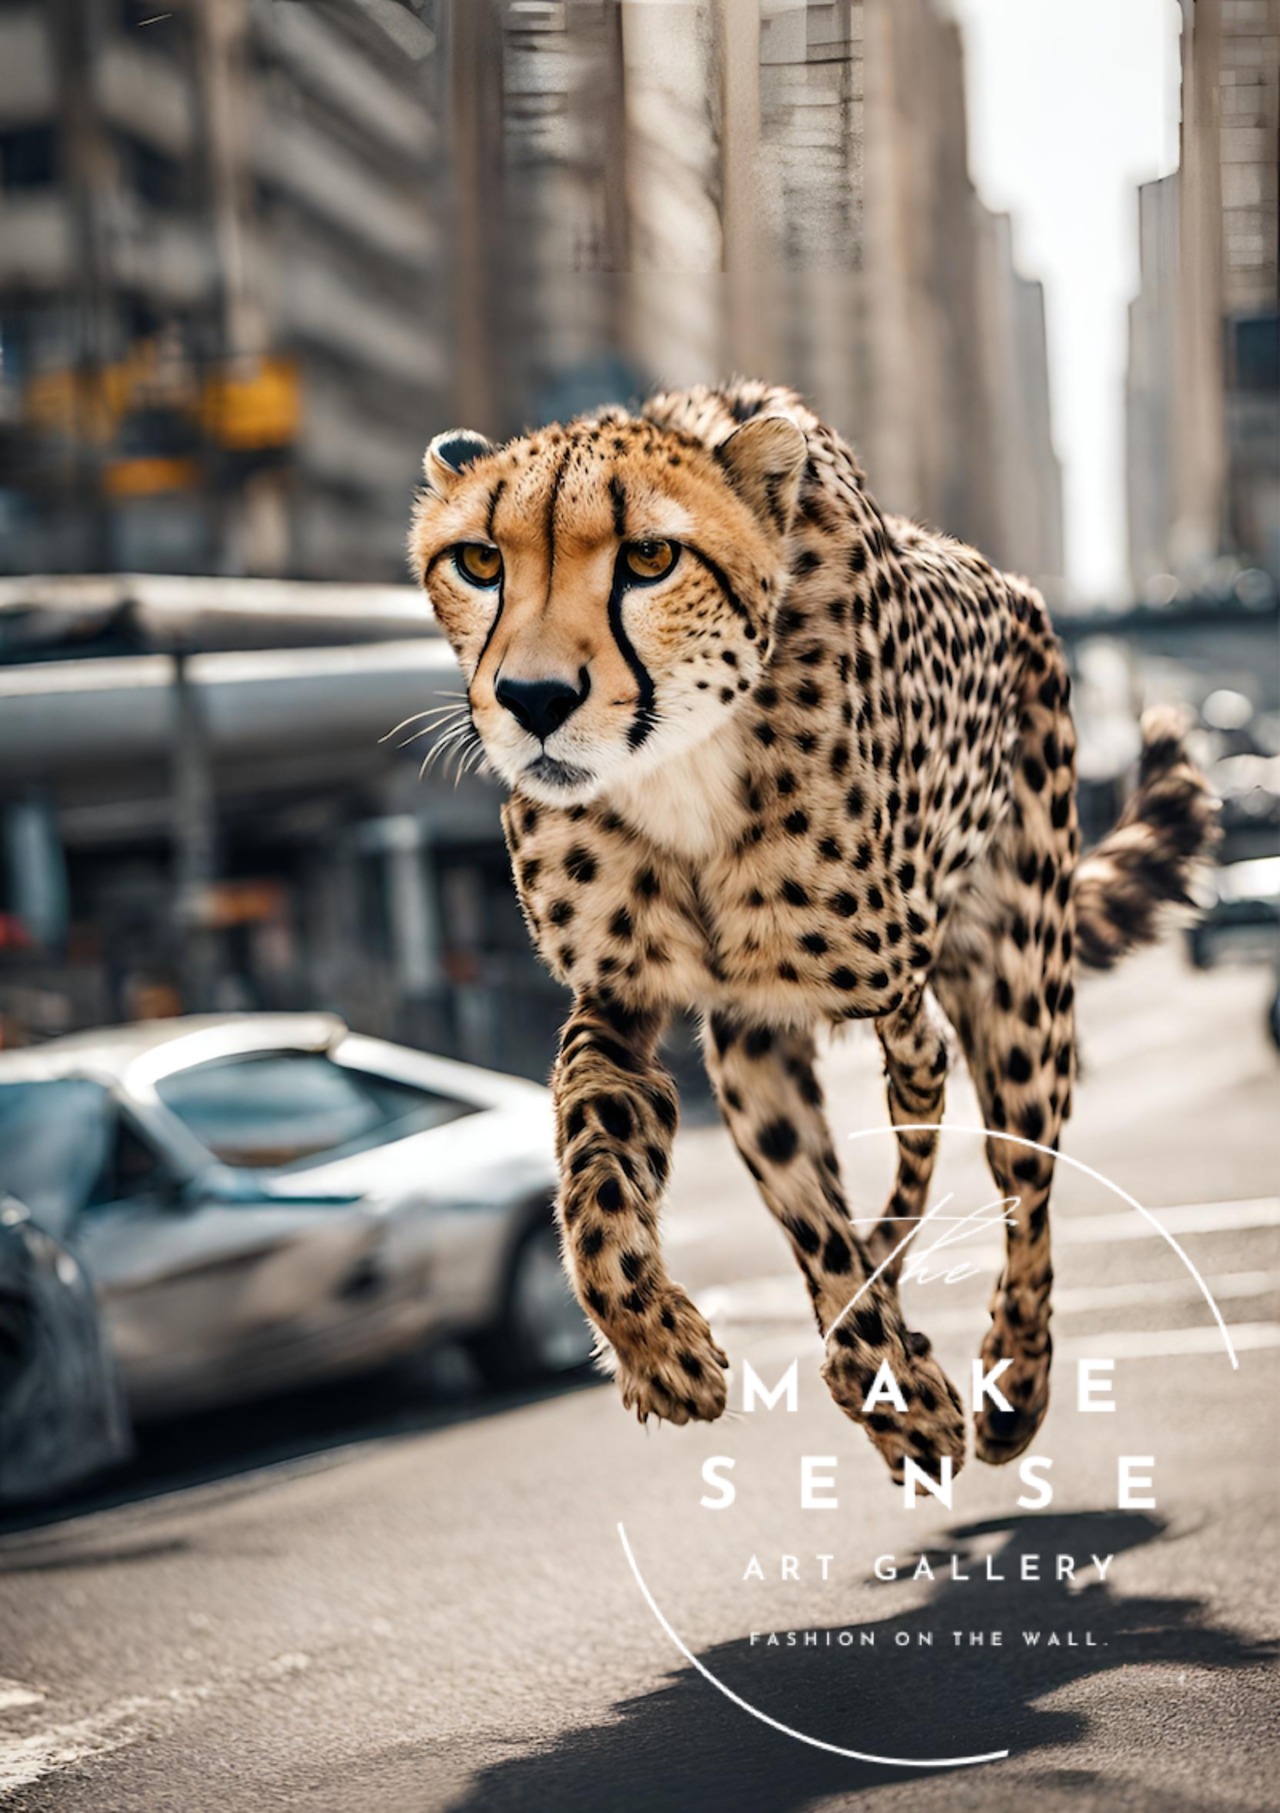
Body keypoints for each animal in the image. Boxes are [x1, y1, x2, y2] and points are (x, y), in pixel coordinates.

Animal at [410, 378, 1216, 1486]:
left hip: (1015, 997)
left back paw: (1014, 1378)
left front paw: (904, 1387)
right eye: (479, 563)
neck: (682, 772)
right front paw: (664, 1346)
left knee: (1022, 1179)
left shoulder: (895, 1006)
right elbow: (608, 1166)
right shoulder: (634, 1001)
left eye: (649, 559)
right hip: (763, 1041)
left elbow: (899, 1181)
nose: (533, 701)